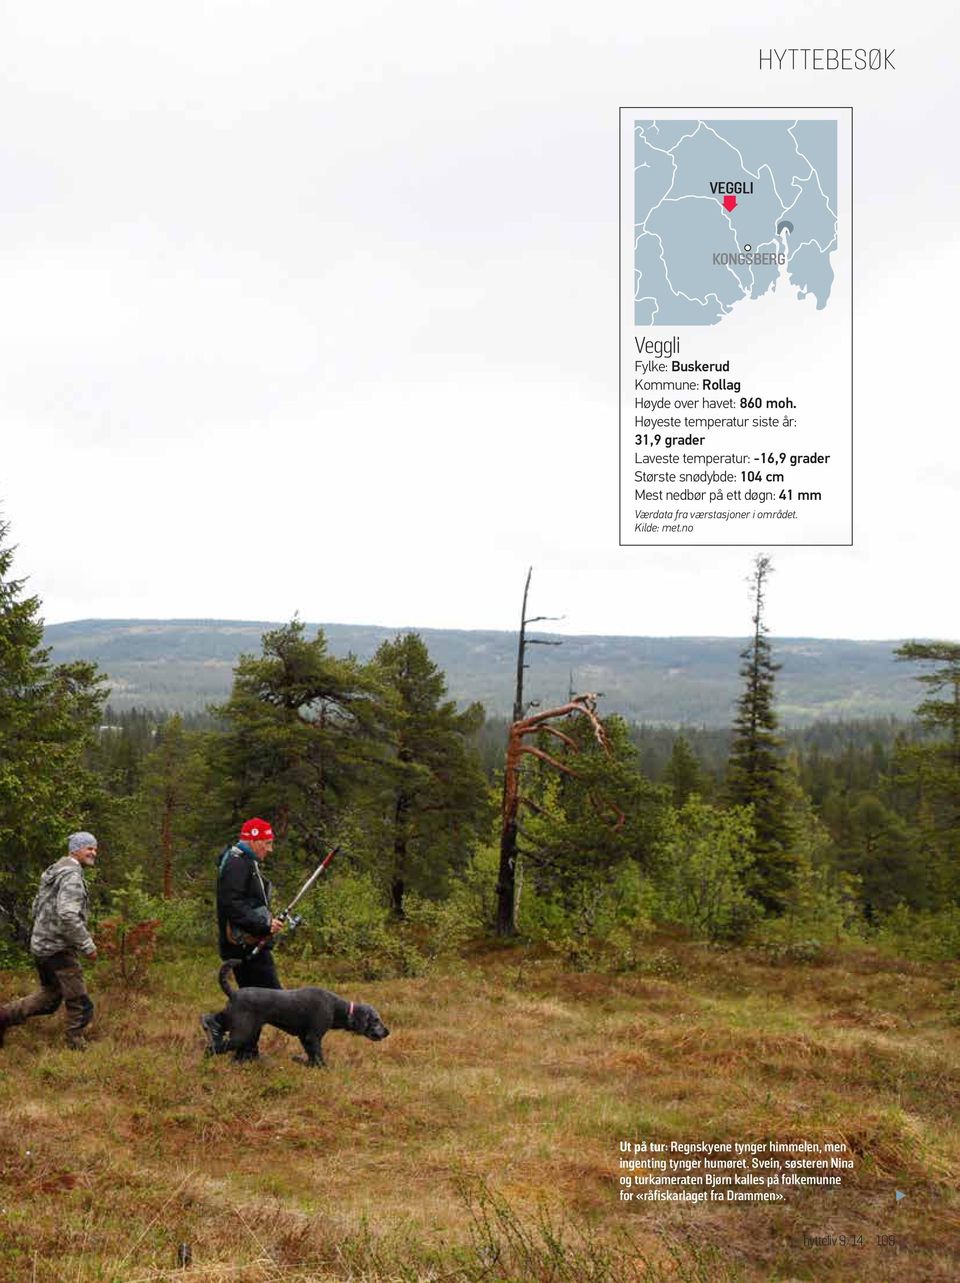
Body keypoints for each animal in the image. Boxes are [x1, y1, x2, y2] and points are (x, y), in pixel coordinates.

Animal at [205, 959, 390, 1067]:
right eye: (376, 1020)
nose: (387, 1032)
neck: (335, 1007)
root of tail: (234, 993)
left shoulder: (304, 1038)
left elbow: (311, 1057)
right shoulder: (313, 1037)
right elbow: (318, 1057)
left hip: (235, 1024)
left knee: (211, 1021)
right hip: (241, 1033)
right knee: (214, 1047)